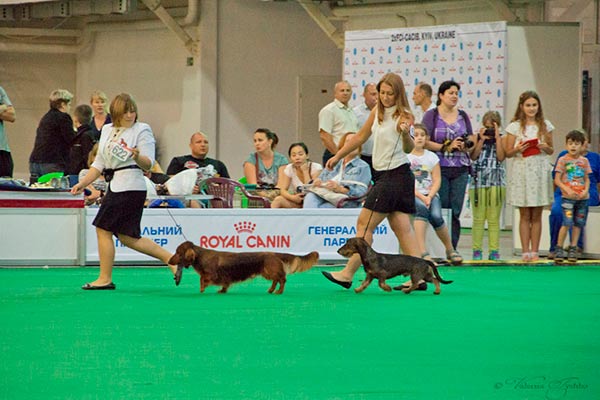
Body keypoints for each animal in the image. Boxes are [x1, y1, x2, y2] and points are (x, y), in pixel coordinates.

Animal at [169, 241, 319, 294]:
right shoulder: (224, 275)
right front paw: (222, 291)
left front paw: (202, 289)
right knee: (277, 279)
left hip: (269, 270)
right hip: (268, 271)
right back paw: (271, 290)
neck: (201, 256)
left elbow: (202, 279)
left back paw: (278, 291)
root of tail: (275, 254)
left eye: (178, 252)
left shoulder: (212, 274)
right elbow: (224, 284)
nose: (169, 261)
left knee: (282, 279)